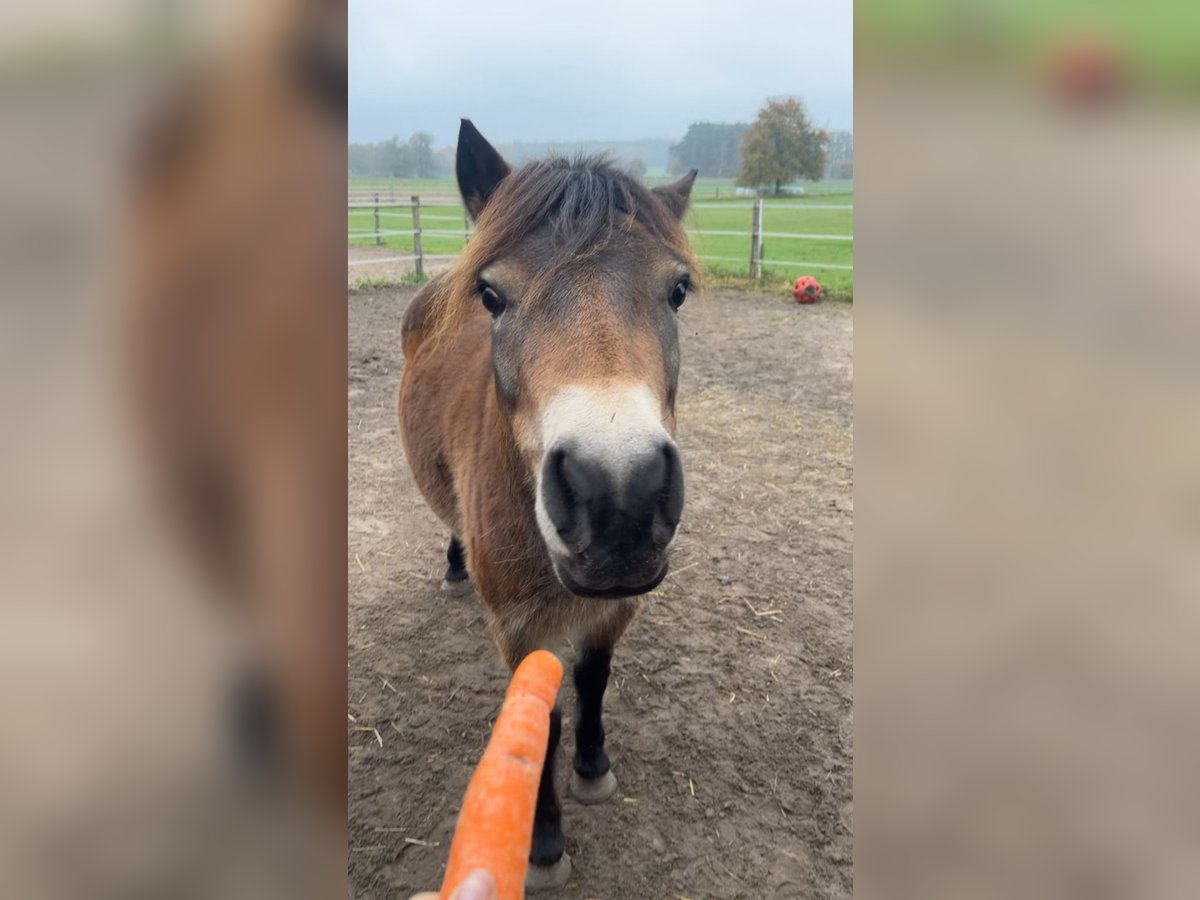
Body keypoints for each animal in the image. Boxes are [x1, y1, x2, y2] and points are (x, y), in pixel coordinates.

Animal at [396, 121, 696, 897]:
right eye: (492, 295)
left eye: (678, 290)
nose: (618, 494)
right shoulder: (518, 630)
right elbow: (542, 724)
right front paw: (546, 841)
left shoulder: (616, 605)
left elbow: (592, 681)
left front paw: (593, 769)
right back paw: (454, 567)